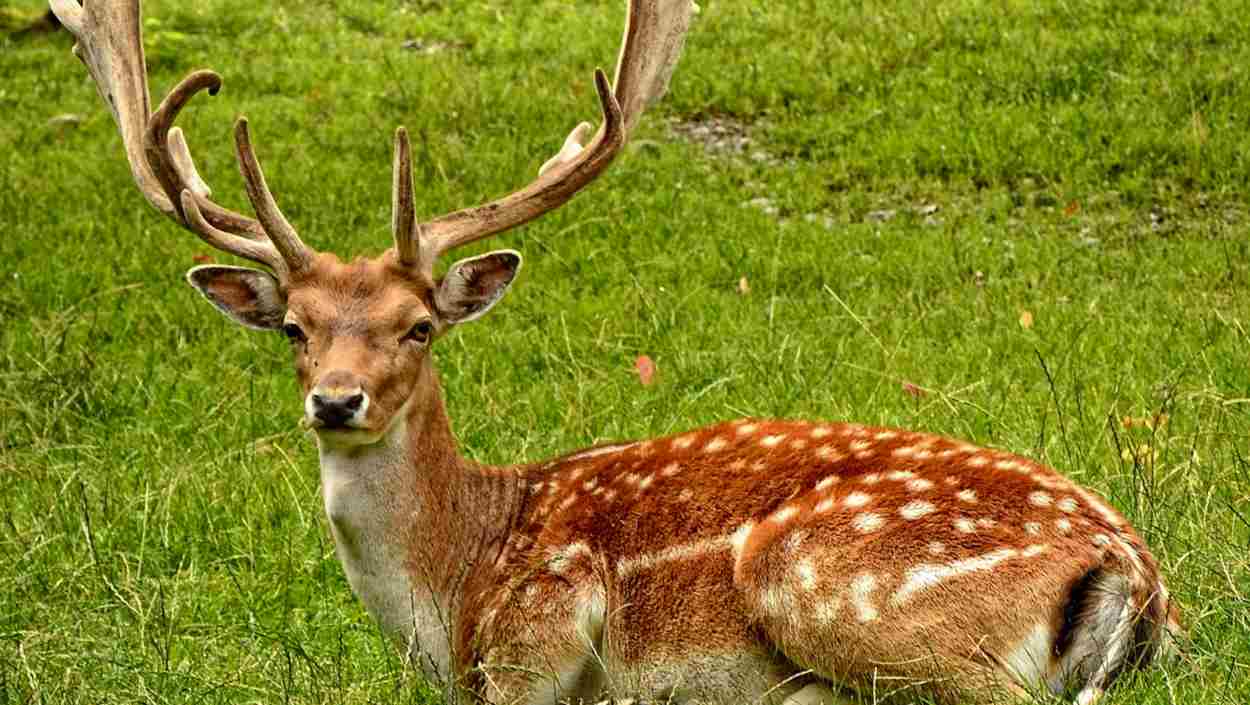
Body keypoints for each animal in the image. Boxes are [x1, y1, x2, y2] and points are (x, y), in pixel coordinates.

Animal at [51, 1, 1180, 705]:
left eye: (419, 326)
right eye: (296, 326)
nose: (336, 401)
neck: (454, 582)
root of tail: (1133, 570)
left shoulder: (539, 629)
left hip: (825, 580)